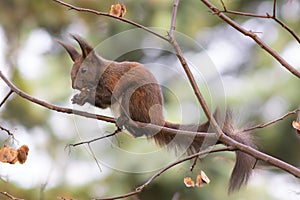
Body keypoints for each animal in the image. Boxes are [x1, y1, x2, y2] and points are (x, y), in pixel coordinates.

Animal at [59, 35, 256, 193]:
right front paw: (79, 98)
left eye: (84, 70)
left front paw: (84, 95)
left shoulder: (114, 79)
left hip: (133, 98)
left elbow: (108, 95)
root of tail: (159, 121)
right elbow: (103, 102)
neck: (102, 72)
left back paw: (127, 121)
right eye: (71, 71)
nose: (74, 86)